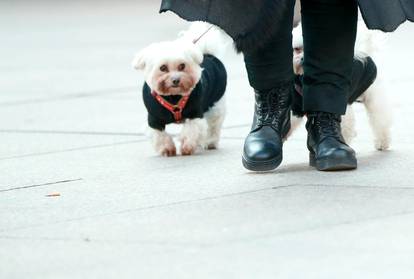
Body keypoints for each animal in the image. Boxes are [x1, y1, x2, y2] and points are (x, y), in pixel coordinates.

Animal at [133, 21, 230, 158]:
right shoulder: (154, 119)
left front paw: (187, 146)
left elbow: (192, 130)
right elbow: (159, 135)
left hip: (216, 104)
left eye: (182, 66)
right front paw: (167, 149)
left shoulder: (195, 113)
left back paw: (210, 142)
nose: (175, 80)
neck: (173, 96)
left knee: (213, 125)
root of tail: (207, 54)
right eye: (163, 68)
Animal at [288, 22, 392, 151]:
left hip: (374, 98)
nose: (303, 59)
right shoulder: (296, 106)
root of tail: (365, 54)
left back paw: (382, 142)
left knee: (380, 120)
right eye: (297, 49)